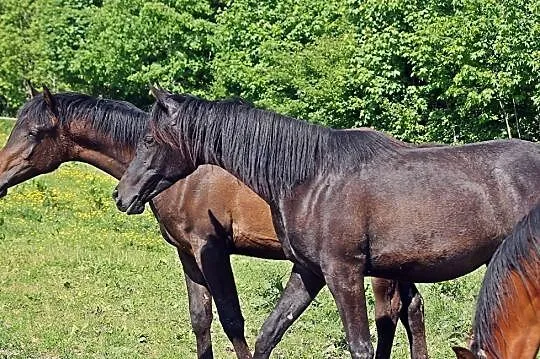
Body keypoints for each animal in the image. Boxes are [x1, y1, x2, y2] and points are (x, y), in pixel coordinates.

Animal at [0, 88, 428, 359]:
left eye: (35, 133)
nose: (0, 177)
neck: (186, 173)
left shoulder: (212, 249)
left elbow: (232, 319)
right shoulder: (187, 255)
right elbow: (200, 318)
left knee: (390, 315)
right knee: (412, 309)